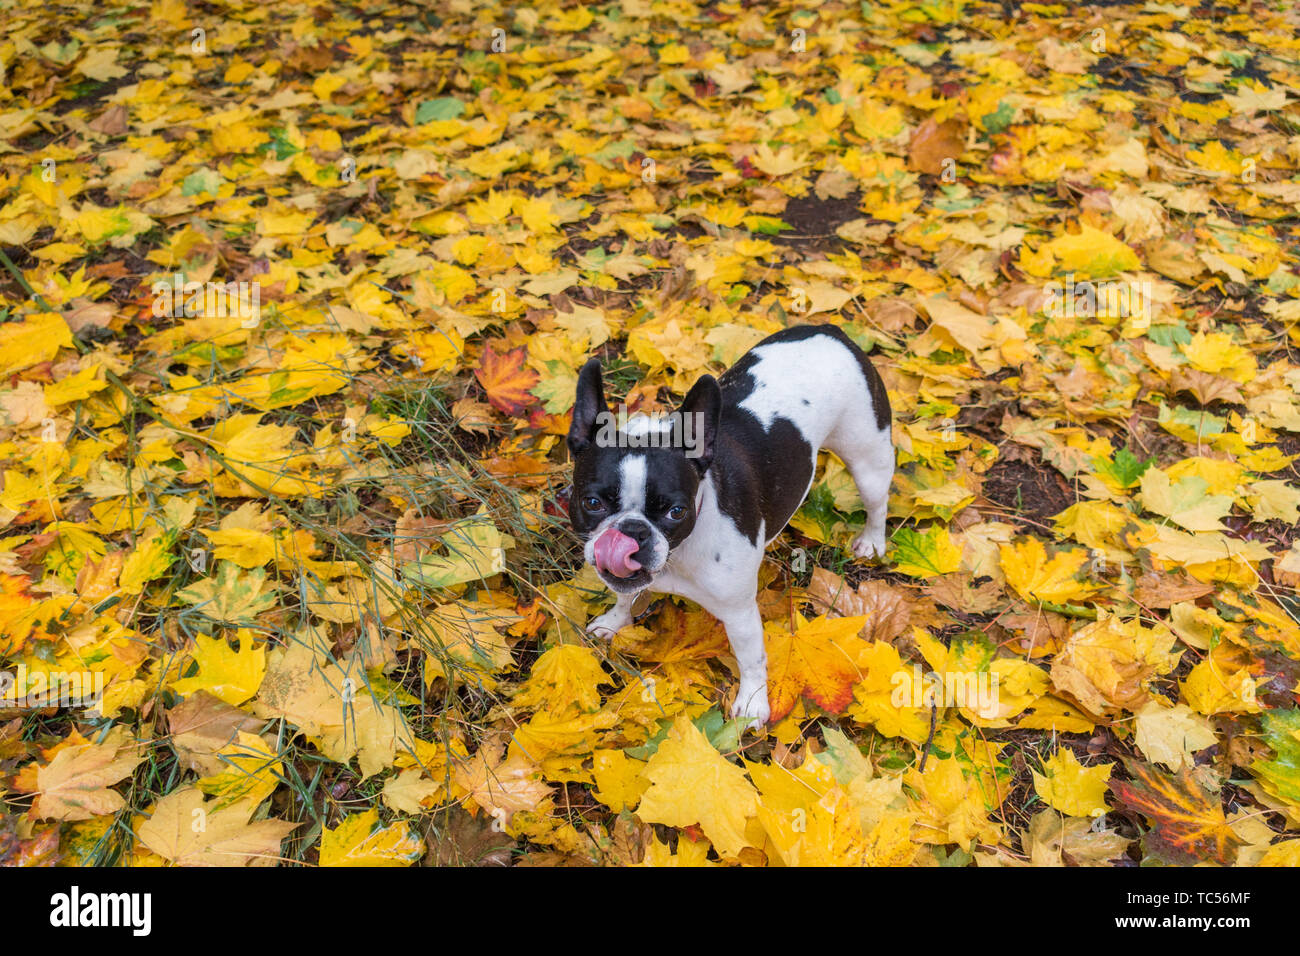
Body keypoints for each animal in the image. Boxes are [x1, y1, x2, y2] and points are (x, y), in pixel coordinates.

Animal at [569, 325, 894, 728]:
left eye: (676, 511)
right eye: (591, 503)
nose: (631, 532)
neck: (679, 555)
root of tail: (830, 331)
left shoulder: (740, 612)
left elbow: (751, 658)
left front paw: (753, 704)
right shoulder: (629, 580)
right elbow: (625, 595)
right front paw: (614, 621)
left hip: (868, 456)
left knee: (877, 501)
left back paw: (871, 541)